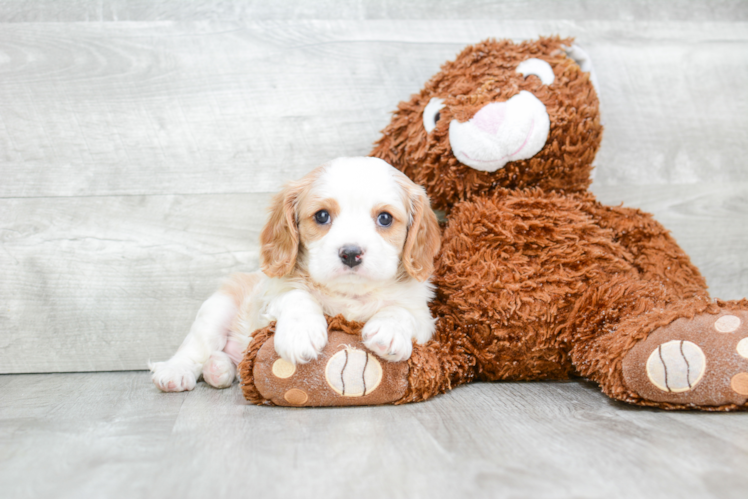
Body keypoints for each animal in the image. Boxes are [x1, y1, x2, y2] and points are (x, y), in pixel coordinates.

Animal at [153, 158, 444, 392]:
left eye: (385, 218)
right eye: (322, 216)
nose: (351, 253)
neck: (349, 293)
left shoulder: (425, 320)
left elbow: (402, 311)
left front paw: (388, 329)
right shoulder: (270, 296)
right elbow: (296, 296)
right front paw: (300, 332)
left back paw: (218, 368)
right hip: (219, 307)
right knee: (197, 346)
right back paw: (176, 371)